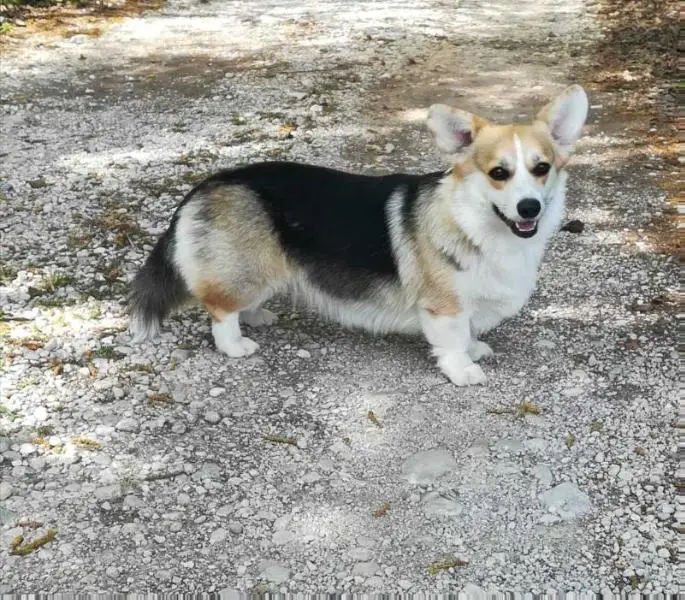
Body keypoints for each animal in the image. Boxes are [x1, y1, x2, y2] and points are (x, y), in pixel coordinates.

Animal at [128, 84, 588, 386]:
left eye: (541, 168)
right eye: (498, 173)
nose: (529, 208)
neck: (476, 222)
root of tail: (206, 184)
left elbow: (471, 330)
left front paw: (476, 349)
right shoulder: (444, 307)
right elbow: (454, 341)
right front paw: (464, 370)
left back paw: (257, 316)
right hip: (248, 269)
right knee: (220, 309)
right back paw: (235, 344)